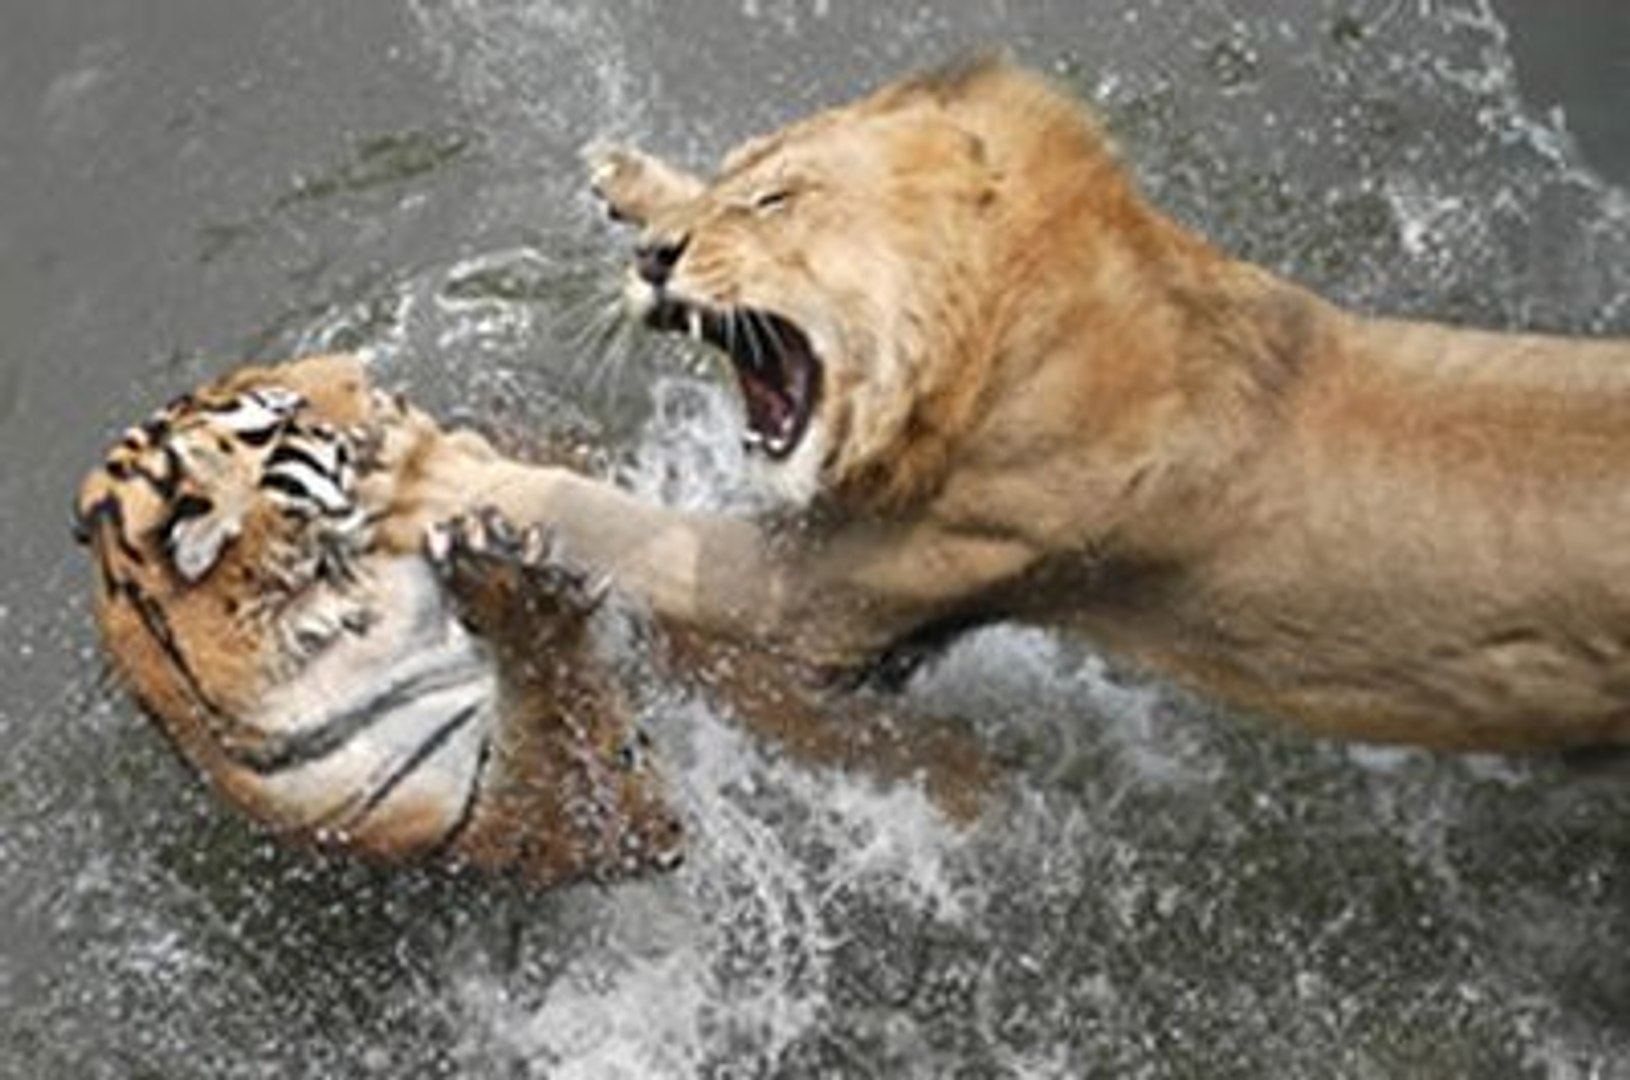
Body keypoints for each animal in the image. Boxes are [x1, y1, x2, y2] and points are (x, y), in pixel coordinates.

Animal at [414, 56, 1630, 755]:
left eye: (777, 201)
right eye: (736, 177)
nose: (656, 258)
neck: (1003, 324)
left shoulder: (818, 593)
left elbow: (613, 516)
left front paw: (445, 468)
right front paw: (629, 177)